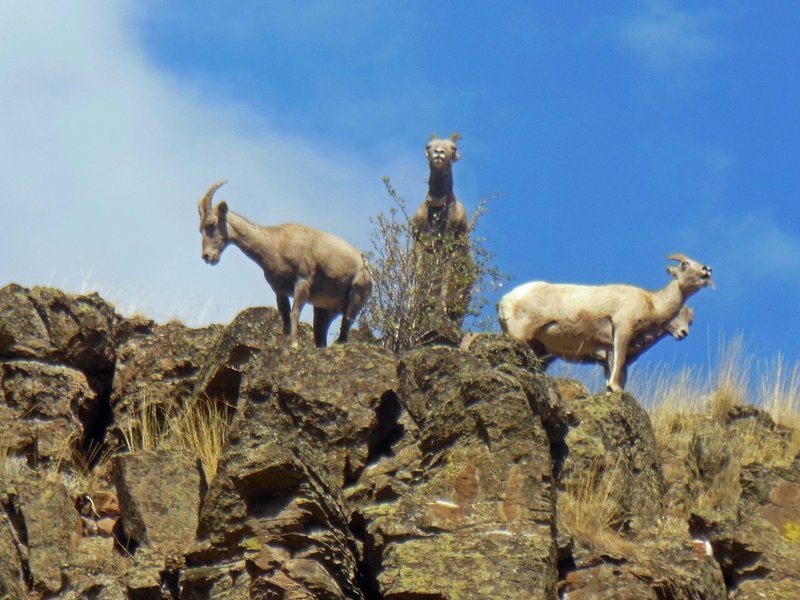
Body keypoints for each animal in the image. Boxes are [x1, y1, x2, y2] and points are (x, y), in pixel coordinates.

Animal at [197, 179, 372, 346]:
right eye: (200, 229)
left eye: (212, 223)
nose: (207, 256)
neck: (276, 245)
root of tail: (368, 271)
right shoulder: (280, 291)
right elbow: (286, 319)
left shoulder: (302, 282)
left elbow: (294, 313)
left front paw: (294, 344)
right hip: (324, 310)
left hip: (355, 299)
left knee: (344, 331)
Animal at [412, 134, 476, 326]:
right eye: (429, 146)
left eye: (453, 148)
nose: (439, 153)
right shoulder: (419, 245)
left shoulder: (451, 249)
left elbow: (445, 279)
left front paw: (440, 311)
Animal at [496, 254, 716, 392]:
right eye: (685, 264)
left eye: (690, 320)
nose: (706, 270)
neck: (653, 304)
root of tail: (505, 300)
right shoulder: (622, 331)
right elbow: (618, 367)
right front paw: (615, 389)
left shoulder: (608, 354)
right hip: (520, 335)